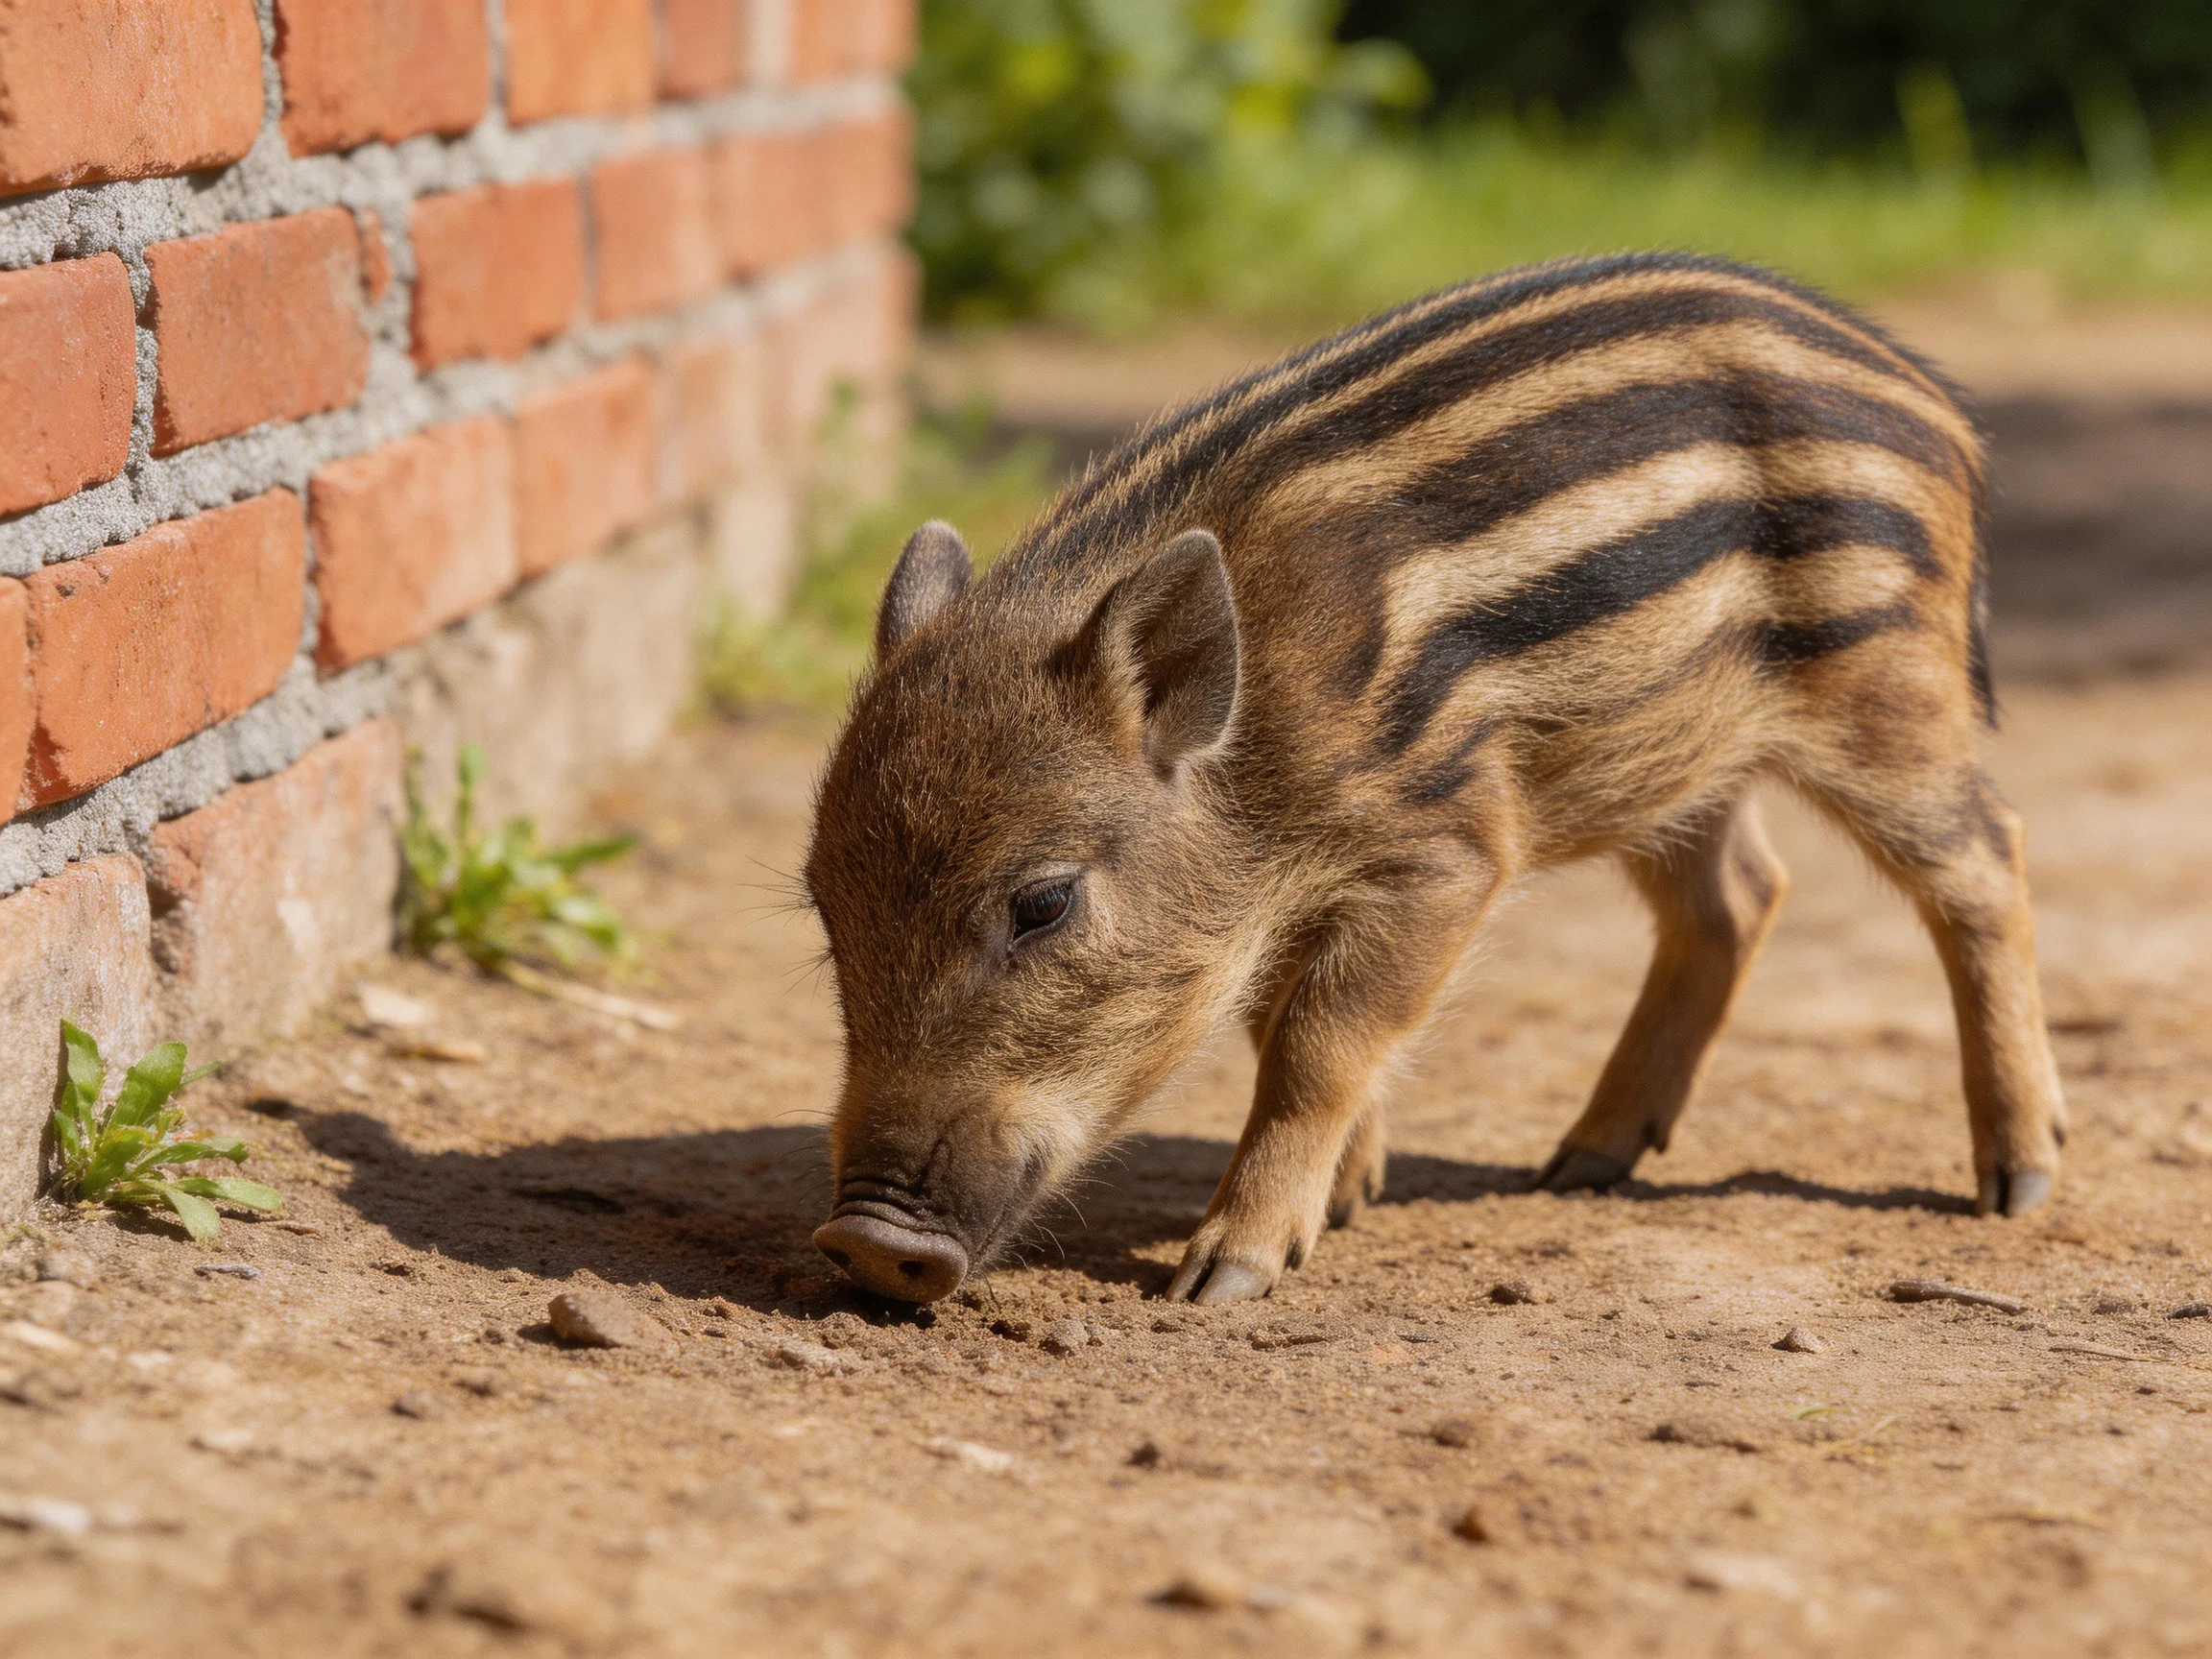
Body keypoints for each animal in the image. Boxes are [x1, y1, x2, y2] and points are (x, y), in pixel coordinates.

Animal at [804, 252, 2066, 1305]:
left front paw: (1225, 1278)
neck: (1263, 754)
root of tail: (1944, 414)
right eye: (826, 911)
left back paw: (2018, 1182)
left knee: (1985, 859)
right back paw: (1580, 1164)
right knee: (1739, 895)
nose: (866, 1244)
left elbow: (1317, 1043)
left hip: (1885, 692)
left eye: (1044, 902)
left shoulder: (1449, 846)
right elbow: (1276, 1020)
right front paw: (1352, 1202)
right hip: (1667, 758)